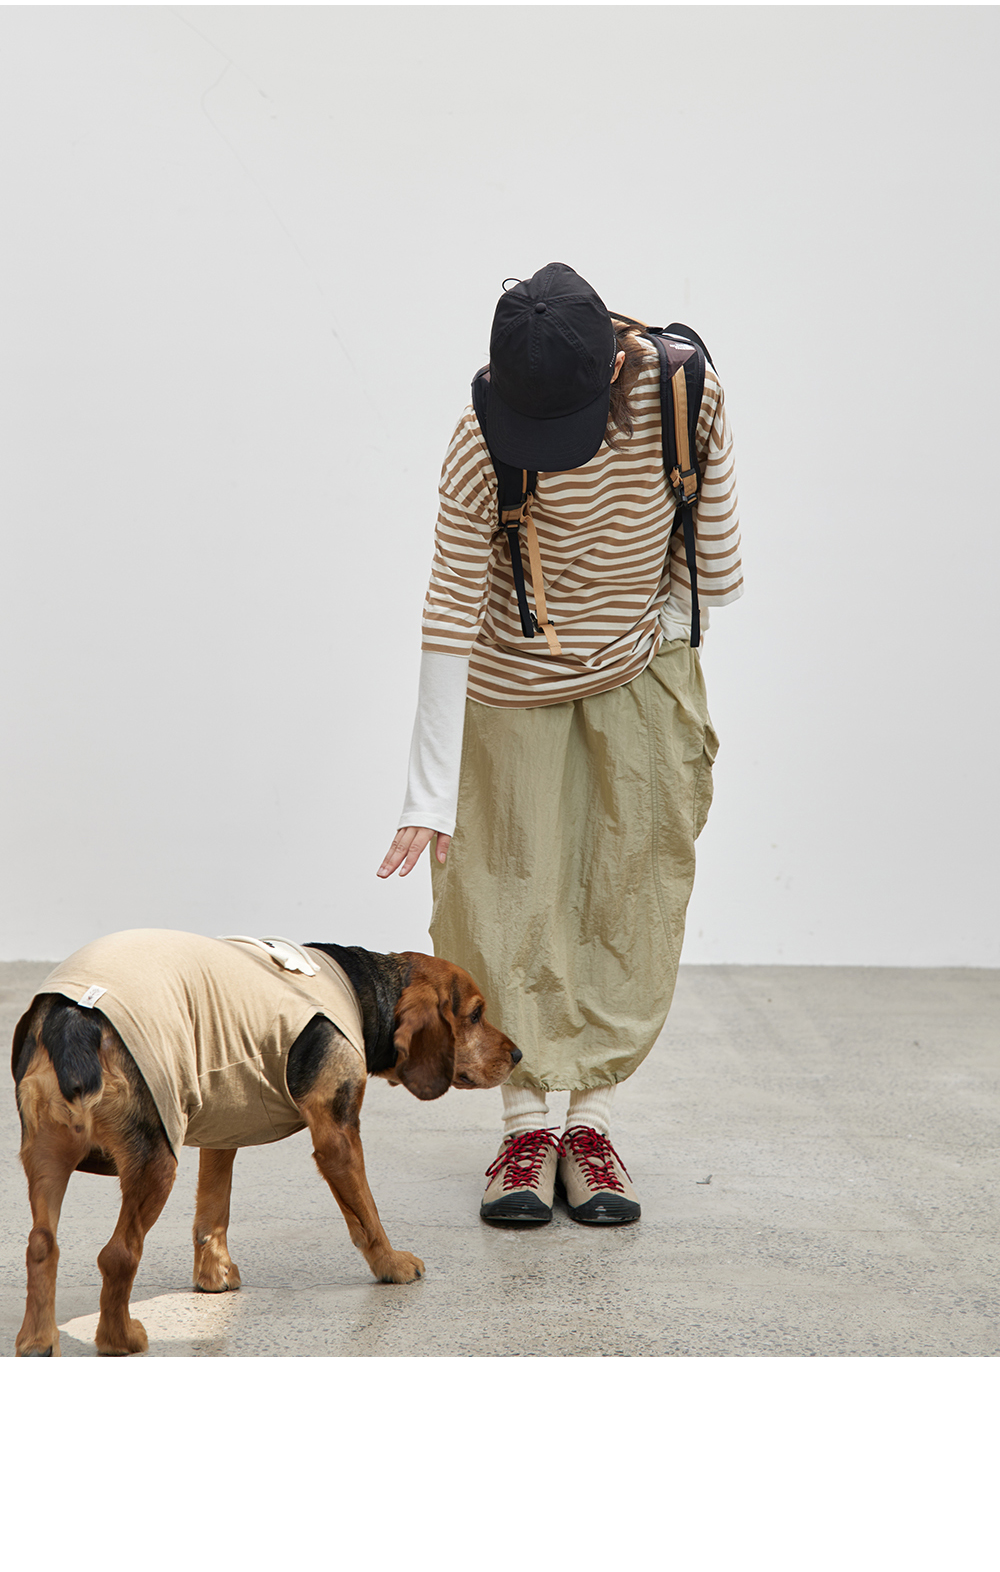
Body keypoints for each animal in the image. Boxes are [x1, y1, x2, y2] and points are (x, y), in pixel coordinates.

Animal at [11, 929, 520, 1356]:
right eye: (475, 1015)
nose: (517, 1054)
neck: (362, 992)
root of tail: (72, 1020)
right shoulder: (337, 1137)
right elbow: (366, 1214)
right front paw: (390, 1264)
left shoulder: (224, 1124)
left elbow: (213, 1211)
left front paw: (213, 1277)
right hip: (156, 1158)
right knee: (118, 1255)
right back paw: (120, 1340)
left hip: (46, 1153)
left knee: (40, 1245)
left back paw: (37, 1341)